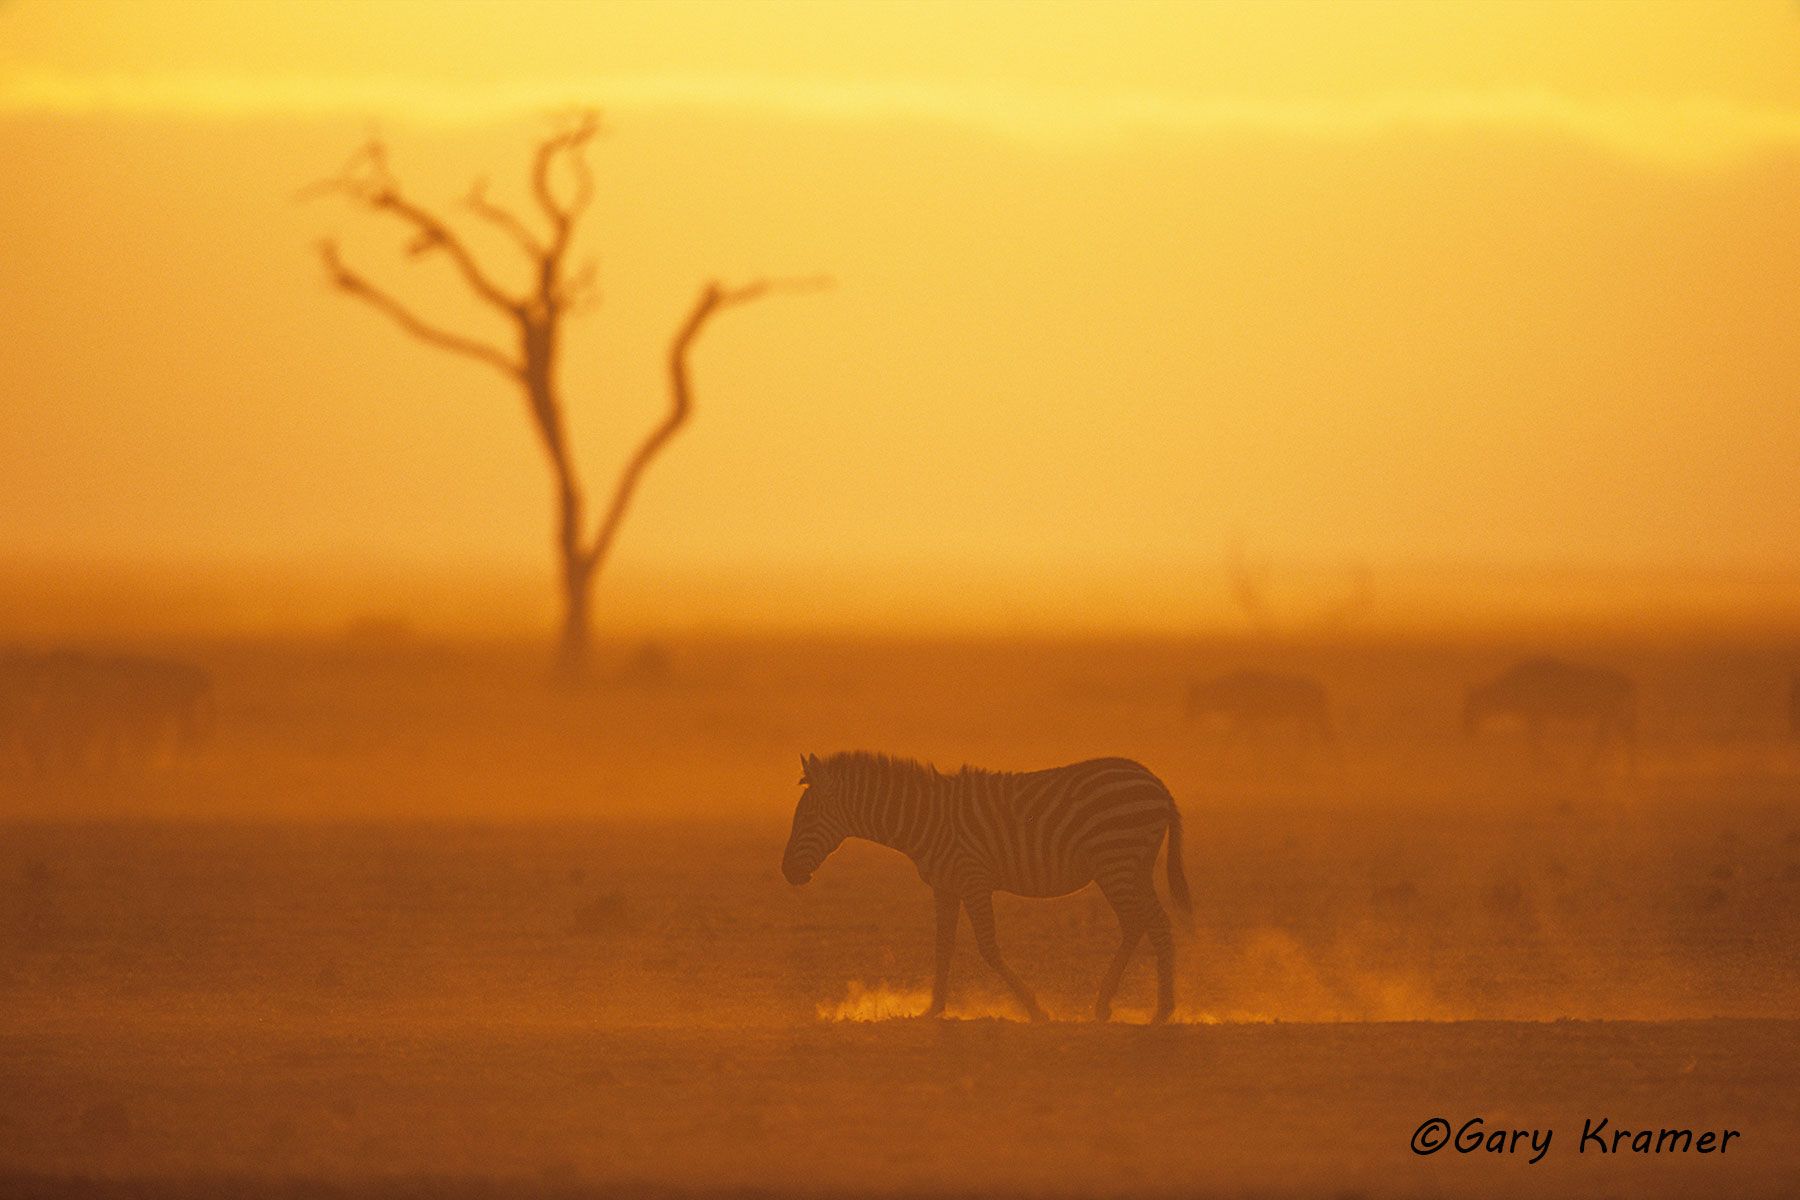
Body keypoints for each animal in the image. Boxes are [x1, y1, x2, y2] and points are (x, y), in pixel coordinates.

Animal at [781, 751, 1191, 1023]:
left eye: (808, 816)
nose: (787, 872)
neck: (923, 821)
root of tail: (1157, 783)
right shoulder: (946, 886)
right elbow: (943, 947)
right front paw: (933, 1009)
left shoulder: (973, 879)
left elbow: (988, 948)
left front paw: (1035, 1009)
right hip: (1132, 867)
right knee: (1151, 924)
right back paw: (1138, 1007)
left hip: (1116, 864)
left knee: (1142, 924)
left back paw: (1146, 1009)